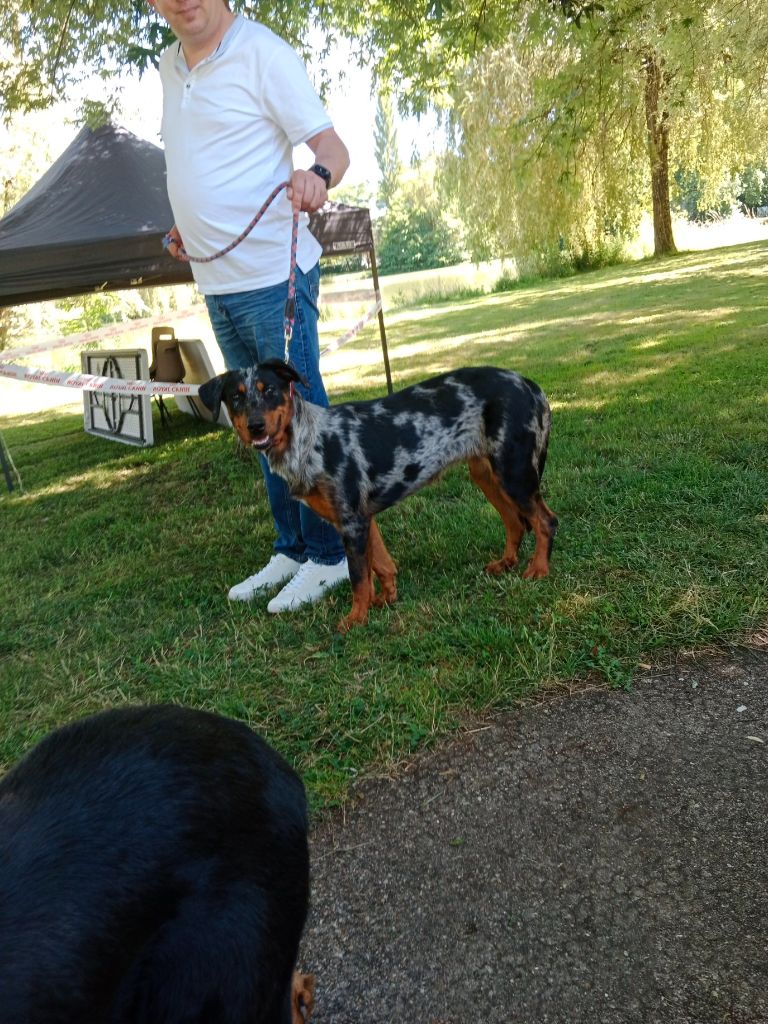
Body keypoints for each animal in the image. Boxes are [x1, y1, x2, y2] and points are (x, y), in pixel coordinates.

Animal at [199, 360, 561, 630]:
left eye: (270, 390)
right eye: (236, 398)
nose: (256, 426)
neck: (307, 441)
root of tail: (529, 384)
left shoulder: (351, 522)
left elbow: (359, 576)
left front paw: (355, 619)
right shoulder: (362, 519)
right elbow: (382, 566)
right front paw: (385, 600)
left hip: (513, 473)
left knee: (546, 520)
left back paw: (539, 569)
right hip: (487, 475)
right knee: (515, 522)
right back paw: (506, 562)